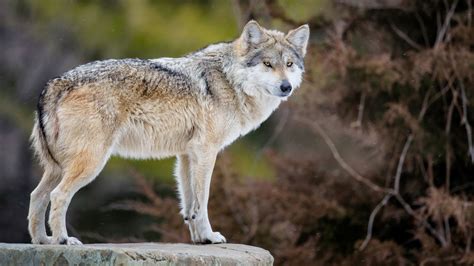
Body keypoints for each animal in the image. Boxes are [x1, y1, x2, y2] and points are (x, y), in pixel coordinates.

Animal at [27, 20, 310, 245]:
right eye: (267, 64)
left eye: (289, 64)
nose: (286, 87)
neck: (230, 80)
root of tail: (55, 83)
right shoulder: (206, 152)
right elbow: (203, 200)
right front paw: (210, 236)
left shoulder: (186, 155)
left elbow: (189, 204)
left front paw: (200, 239)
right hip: (90, 164)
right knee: (57, 195)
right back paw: (62, 240)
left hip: (57, 167)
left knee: (37, 196)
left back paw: (43, 241)